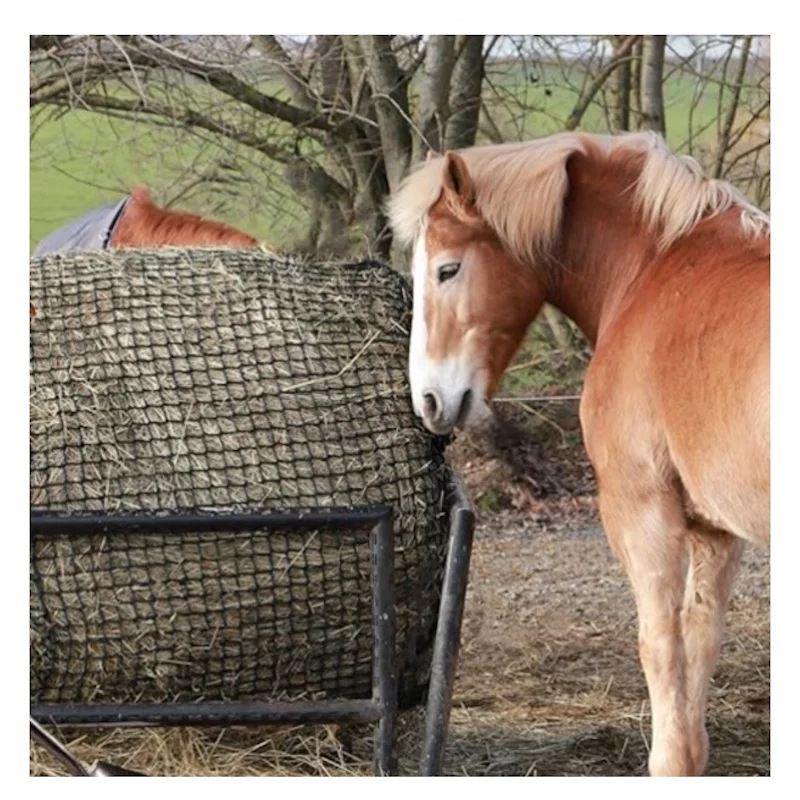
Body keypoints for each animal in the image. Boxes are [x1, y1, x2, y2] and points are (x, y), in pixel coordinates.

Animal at [389, 130, 769, 777]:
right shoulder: (716, 533)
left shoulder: (643, 515)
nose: (429, 400)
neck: (657, 269)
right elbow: (699, 644)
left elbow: (661, 652)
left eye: (447, 269)